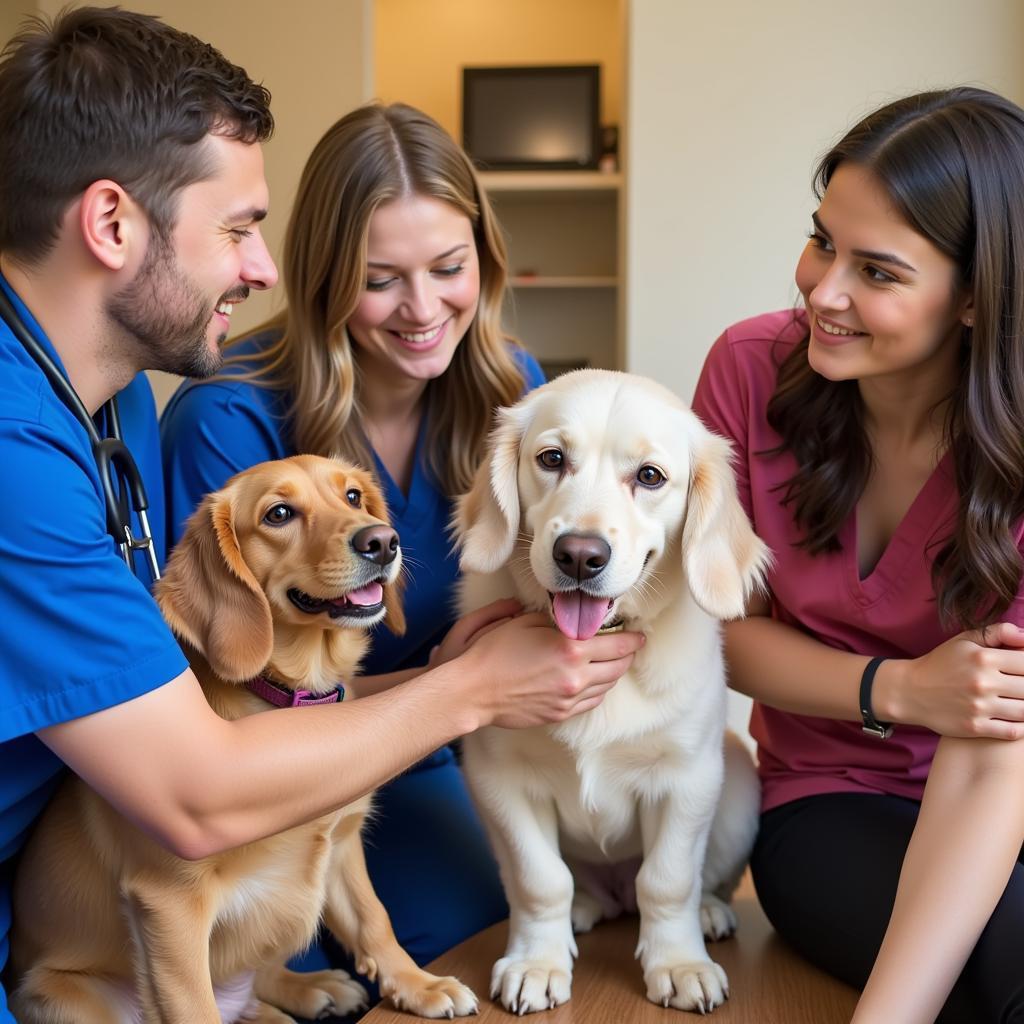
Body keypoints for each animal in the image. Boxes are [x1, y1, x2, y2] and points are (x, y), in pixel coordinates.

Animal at [9, 456, 479, 1024]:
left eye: (351, 497)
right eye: (278, 514)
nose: (383, 541)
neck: (296, 700)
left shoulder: (341, 845)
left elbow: (374, 918)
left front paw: (417, 983)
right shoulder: (169, 906)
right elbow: (193, 1006)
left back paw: (312, 987)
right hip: (66, 997)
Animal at [456, 370, 770, 1015]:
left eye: (649, 476)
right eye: (552, 459)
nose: (580, 555)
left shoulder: (686, 778)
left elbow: (668, 880)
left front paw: (678, 964)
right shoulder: (500, 779)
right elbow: (540, 879)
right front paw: (536, 963)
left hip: (737, 786)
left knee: (686, 883)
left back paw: (708, 913)